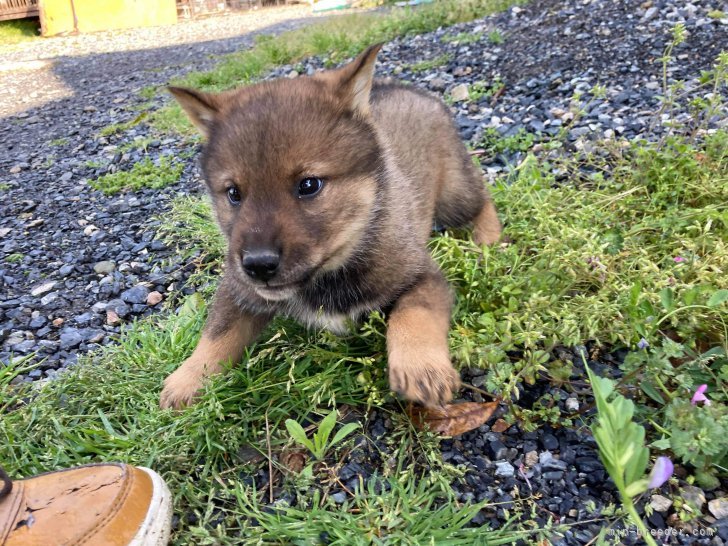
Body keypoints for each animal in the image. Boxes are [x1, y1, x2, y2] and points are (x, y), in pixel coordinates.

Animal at [159, 42, 500, 408]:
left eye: (309, 185)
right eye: (234, 194)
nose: (258, 265)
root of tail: (411, 90)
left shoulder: (422, 275)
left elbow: (414, 314)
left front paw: (420, 366)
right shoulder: (240, 290)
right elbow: (217, 332)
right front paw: (188, 378)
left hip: (454, 195)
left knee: (484, 199)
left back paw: (489, 241)